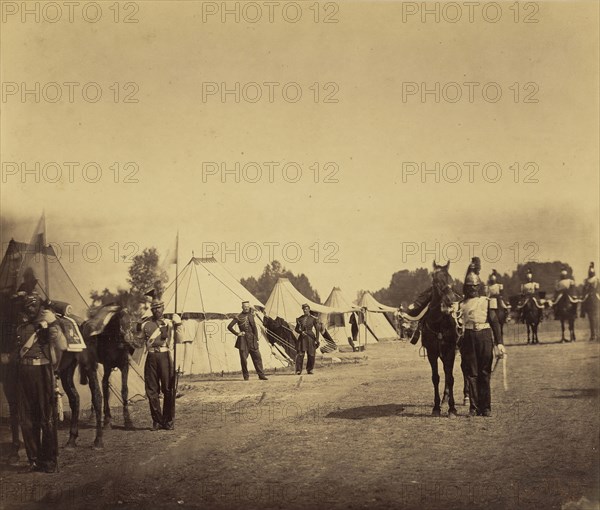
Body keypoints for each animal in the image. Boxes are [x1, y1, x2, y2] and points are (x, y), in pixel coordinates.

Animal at [420, 260, 462, 416]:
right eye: (435, 280)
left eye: (451, 279)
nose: (450, 302)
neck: (438, 323)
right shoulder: (432, 352)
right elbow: (436, 377)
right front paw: (437, 407)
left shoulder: (450, 350)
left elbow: (450, 377)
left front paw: (452, 408)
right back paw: (445, 398)